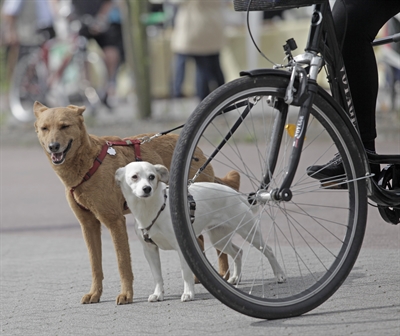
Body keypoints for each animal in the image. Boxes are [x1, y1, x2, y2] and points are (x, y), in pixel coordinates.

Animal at [33, 101, 238, 304]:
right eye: (45, 128)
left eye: (64, 126)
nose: (53, 146)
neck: (89, 162)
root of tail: (199, 151)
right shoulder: (88, 225)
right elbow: (95, 265)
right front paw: (95, 293)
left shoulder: (115, 221)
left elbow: (123, 263)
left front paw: (126, 294)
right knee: (200, 240)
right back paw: (196, 278)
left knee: (218, 248)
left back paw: (223, 274)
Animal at [114, 161, 286, 304]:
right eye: (134, 177)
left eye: (152, 177)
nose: (147, 189)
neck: (152, 209)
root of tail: (235, 194)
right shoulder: (149, 250)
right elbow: (157, 276)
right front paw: (158, 294)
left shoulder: (181, 248)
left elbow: (186, 274)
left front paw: (188, 293)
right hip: (219, 239)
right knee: (238, 252)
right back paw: (236, 277)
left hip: (249, 232)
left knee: (268, 250)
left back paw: (279, 275)